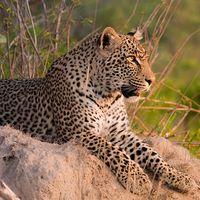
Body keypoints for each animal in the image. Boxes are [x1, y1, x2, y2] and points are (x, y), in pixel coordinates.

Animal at [0, 26, 197, 195]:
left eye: (145, 59)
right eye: (132, 59)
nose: (152, 81)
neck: (107, 97)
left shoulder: (121, 133)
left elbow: (152, 153)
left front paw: (181, 178)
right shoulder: (78, 132)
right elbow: (112, 150)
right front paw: (137, 178)